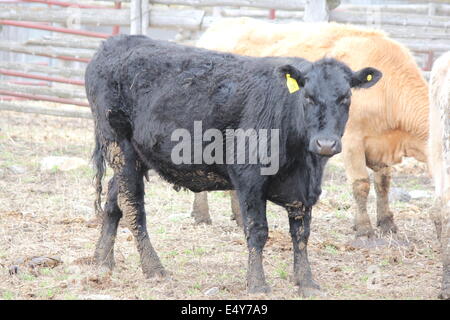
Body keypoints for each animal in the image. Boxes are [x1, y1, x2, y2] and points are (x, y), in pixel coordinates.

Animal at [86, 34, 382, 296]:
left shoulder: (303, 190)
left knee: (114, 200)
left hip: (135, 157)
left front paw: (306, 282)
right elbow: (257, 230)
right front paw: (257, 284)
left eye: (345, 98)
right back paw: (153, 268)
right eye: (308, 97)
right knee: (133, 207)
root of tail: (114, 43)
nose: (326, 144)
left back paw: (102, 260)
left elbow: (301, 233)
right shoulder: (249, 178)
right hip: (119, 147)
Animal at [191, 18, 428, 240]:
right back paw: (201, 214)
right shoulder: (352, 141)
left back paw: (240, 217)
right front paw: (364, 228)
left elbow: (383, 183)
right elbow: (361, 184)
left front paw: (387, 223)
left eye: (346, 96)